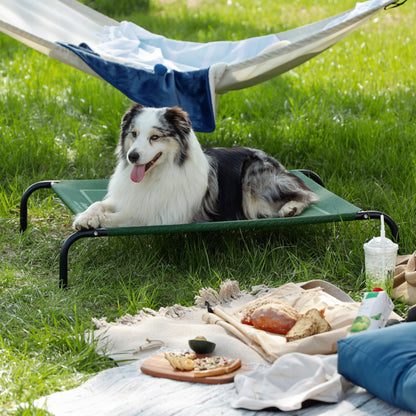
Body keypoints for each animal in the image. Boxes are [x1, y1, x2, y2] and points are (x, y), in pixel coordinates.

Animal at [72, 103, 318, 229]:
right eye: (134, 133)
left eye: (155, 137)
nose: (132, 156)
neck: (158, 173)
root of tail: (278, 164)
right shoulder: (129, 199)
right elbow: (98, 204)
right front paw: (85, 217)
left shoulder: (158, 217)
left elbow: (115, 219)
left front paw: (94, 221)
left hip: (253, 187)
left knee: (307, 194)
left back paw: (291, 207)